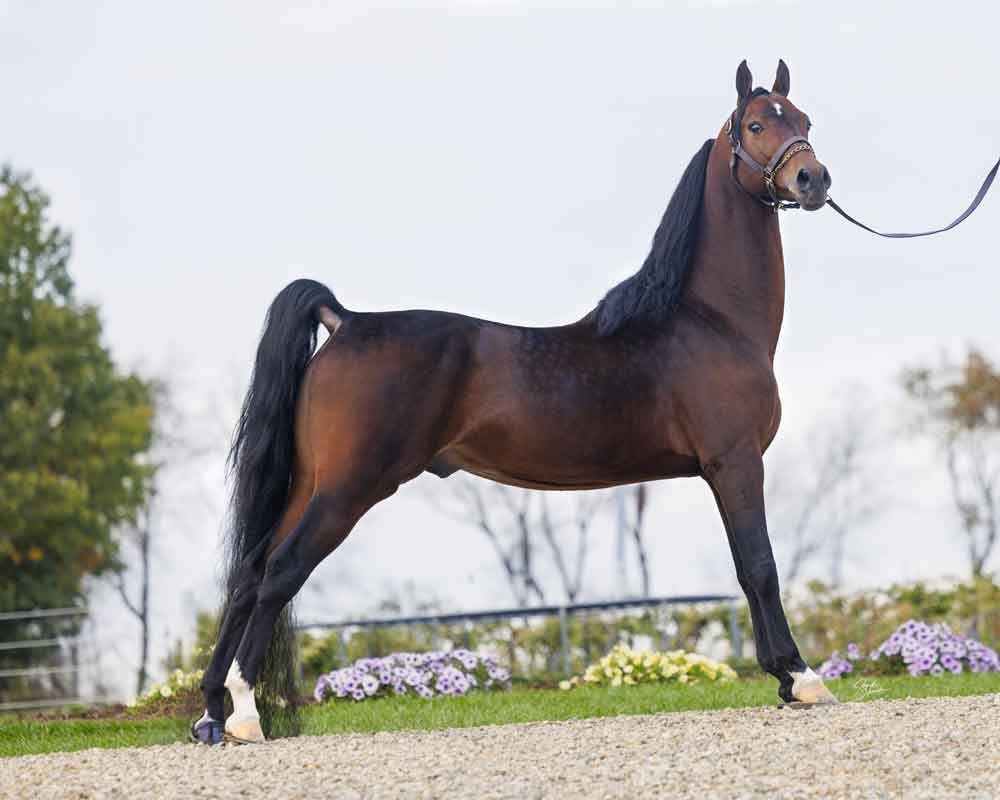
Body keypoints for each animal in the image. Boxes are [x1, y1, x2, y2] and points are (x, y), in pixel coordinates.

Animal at [192, 58, 838, 745]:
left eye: (804, 120)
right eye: (756, 124)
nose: (813, 178)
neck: (709, 319)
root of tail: (347, 321)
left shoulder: (724, 469)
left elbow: (747, 567)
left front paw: (783, 678)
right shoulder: (735, 462)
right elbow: (760, 565)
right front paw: (801, 678)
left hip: (309, 482)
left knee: (248, 572)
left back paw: (210, 713)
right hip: (347, 489)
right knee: (280, 573)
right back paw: (245, 713)